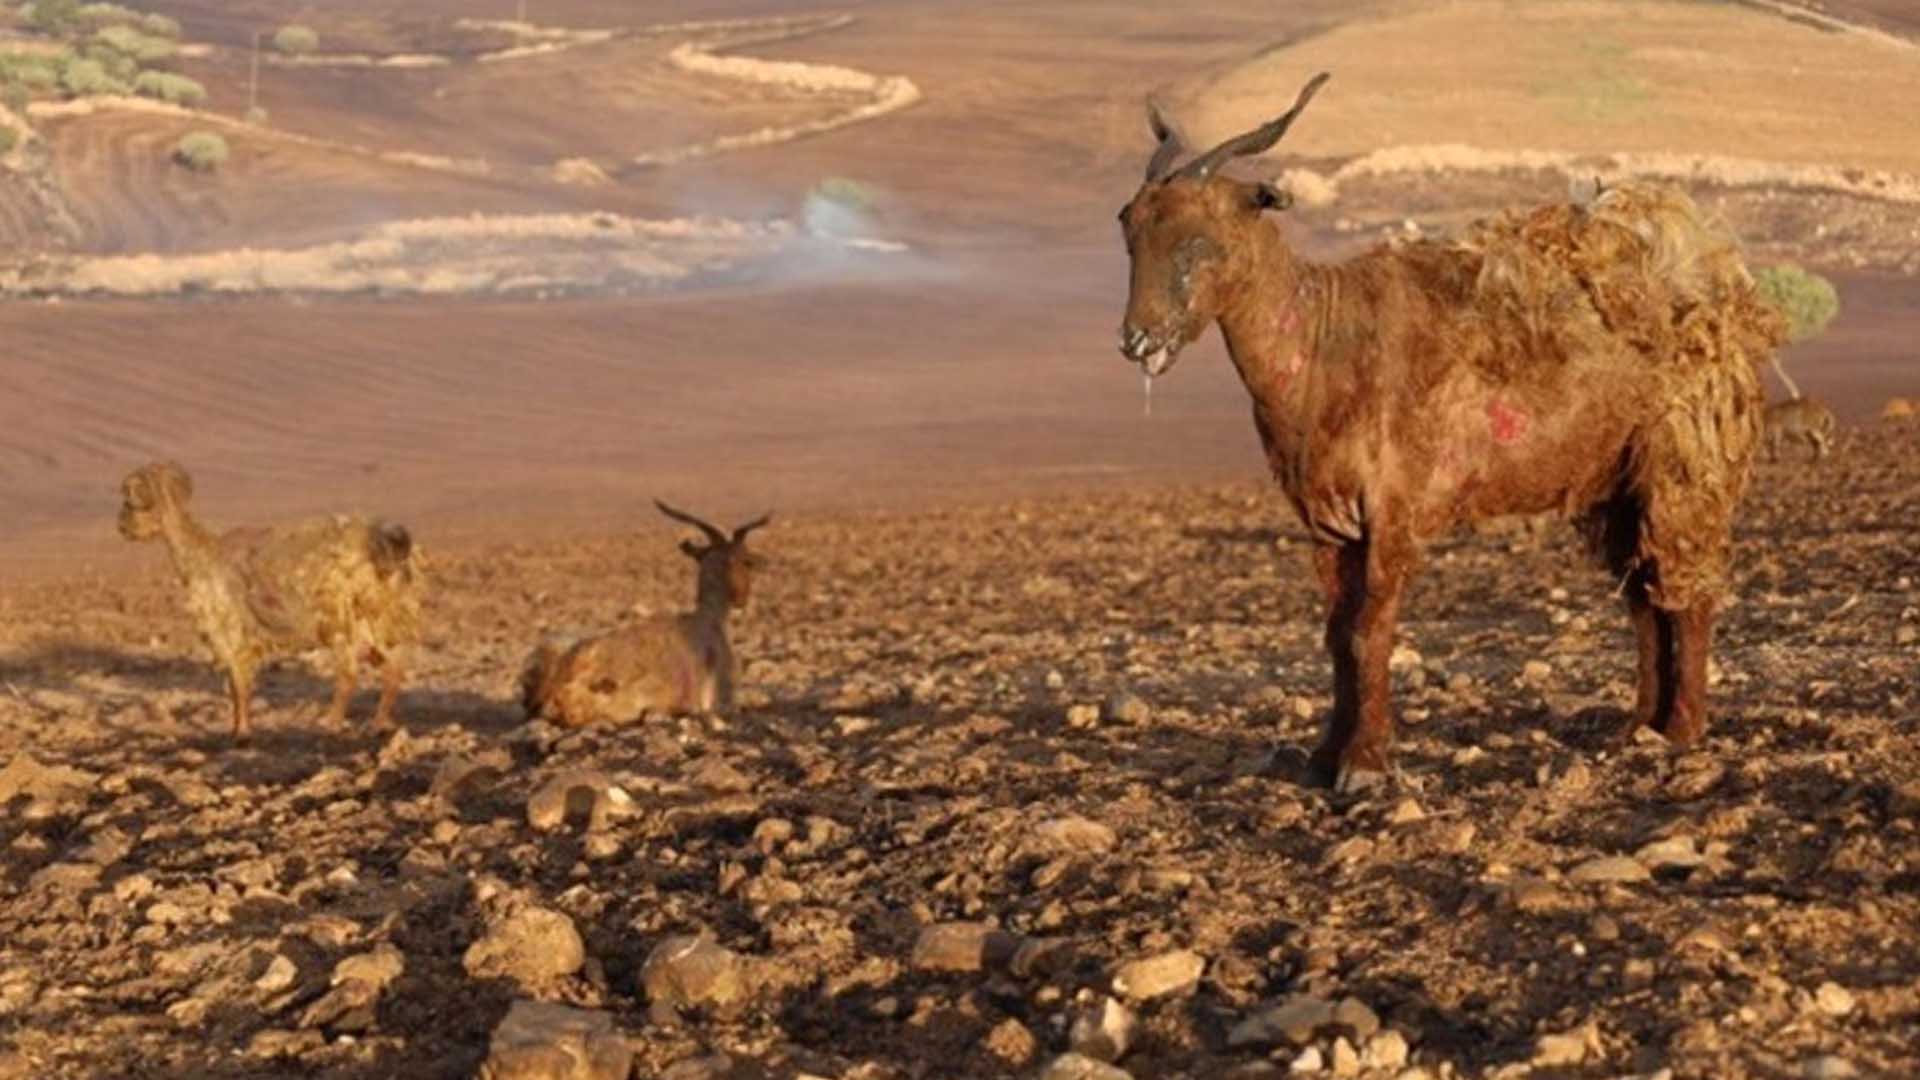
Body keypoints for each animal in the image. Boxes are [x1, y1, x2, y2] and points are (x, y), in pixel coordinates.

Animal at [119, 453, 424, 737]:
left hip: (339, 615)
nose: (121, 527)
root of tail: (386, 542)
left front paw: (242, 731)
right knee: (392, 669)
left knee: (350, 671)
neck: (202, 552)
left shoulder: (229, 628)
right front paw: (238, 728)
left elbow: (238, 682)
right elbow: (238, 683)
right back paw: (379, 722)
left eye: (132, 502)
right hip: (376, 616)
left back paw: (330, 722)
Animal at [1121, 71, 1789, 787]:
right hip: (1617, 484)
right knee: (1644, 596)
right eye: (1128, 227)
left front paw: (1363, 765)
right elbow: (1334, 635)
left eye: (1200, 240)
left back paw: (1684, 731)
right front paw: (1325, 757)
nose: (1137, 340)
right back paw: (1641, 727)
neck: (1326, 340)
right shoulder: (1328, 522)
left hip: (1685, 468)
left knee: (1688, 592)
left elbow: (1369, 631)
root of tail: (1720, 292)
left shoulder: (1395, 510)